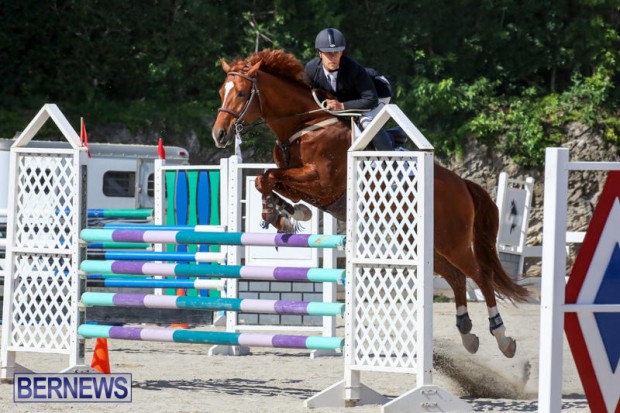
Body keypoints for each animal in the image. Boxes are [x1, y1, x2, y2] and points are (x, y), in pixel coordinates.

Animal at [211, 49, 529, 358]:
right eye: (221, 91)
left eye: (242, 93)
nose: (219, 135)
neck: (305, 125)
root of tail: (462, 184)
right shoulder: (303, 183)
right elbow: (265, 180)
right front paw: (284, 214)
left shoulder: (322, 183)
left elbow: (270, 178)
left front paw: (284, 214)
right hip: (421, 240)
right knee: (455, 276)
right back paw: (467, 334)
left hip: (453, 241)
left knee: (481, 275)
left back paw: (503, 338)